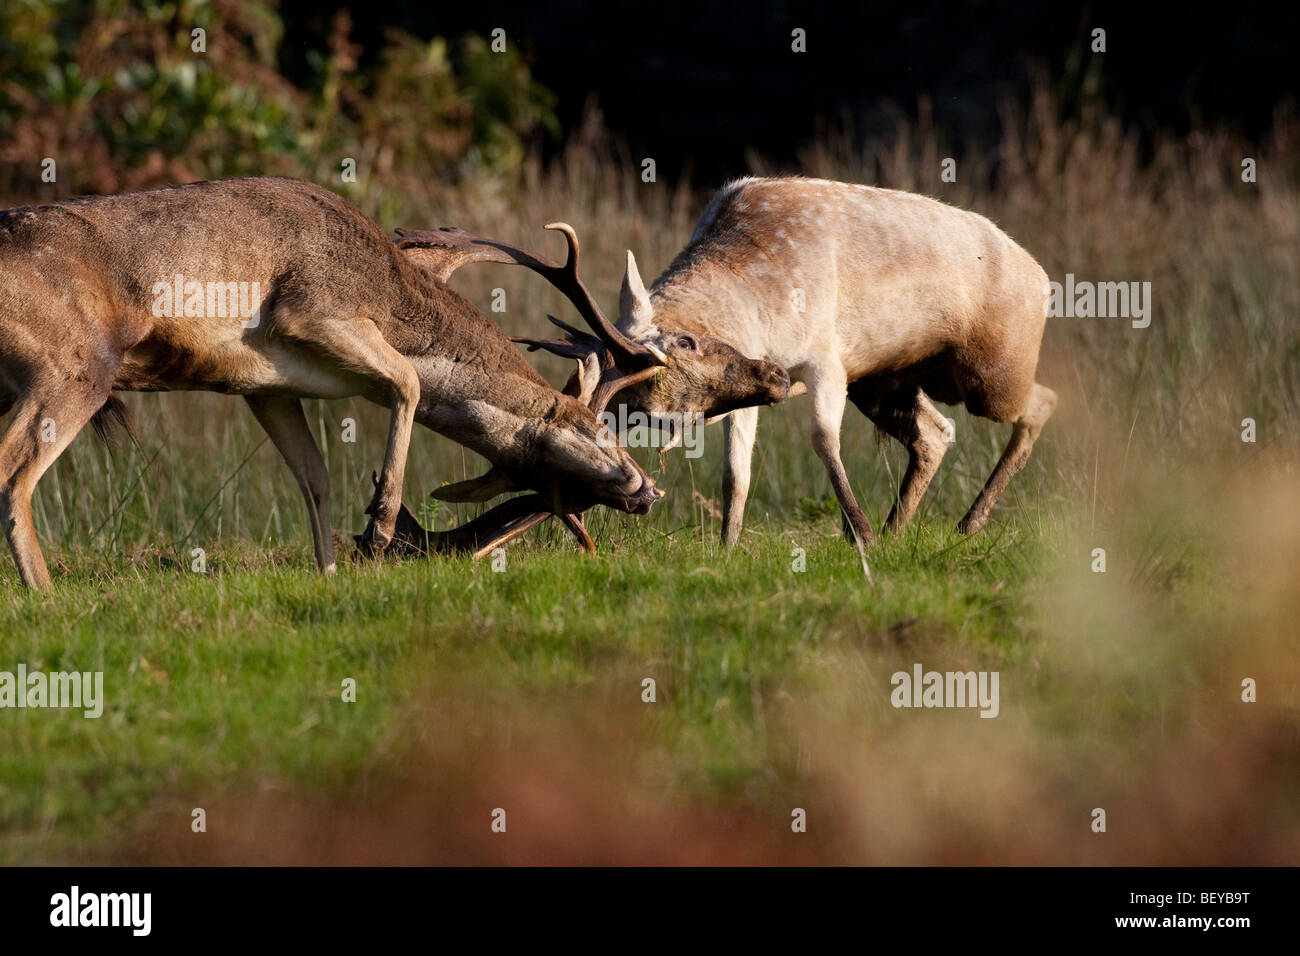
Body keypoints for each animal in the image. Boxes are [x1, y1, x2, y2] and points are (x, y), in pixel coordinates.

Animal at [0, 176, 756, 588]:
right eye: (596, 427)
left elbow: (314, 475)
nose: (647, 491)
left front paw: (331, 572)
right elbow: (408, 384)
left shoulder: (265, 387)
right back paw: (46, 595)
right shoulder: (312, 309)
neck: (390, 289)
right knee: (15, 474)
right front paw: (379, 526)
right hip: (74, 367)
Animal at [518, 176, 1058, 551]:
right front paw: (727, 547)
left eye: (688, 343)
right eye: (645, 412)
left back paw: (965, 523)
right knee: (936, 432)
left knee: (1042, 402)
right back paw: (900, 529)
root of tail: (1042, 275)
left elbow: (822, 439)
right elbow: (735, 473)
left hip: (993, 370)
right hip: (886, 380)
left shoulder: (827, 357)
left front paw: (859, 534)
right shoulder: (752, 387)